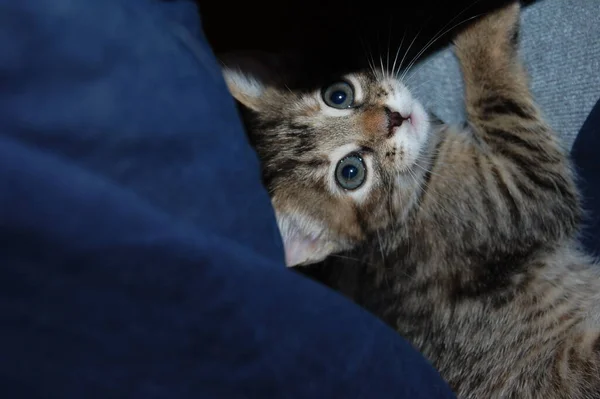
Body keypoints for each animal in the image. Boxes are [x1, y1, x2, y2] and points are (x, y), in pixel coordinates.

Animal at [223, 3, 600, 399]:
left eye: (337, 94)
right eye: (350, 172)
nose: (393, 118)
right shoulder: (521, 193)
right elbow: (498, 103)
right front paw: (483, 28)